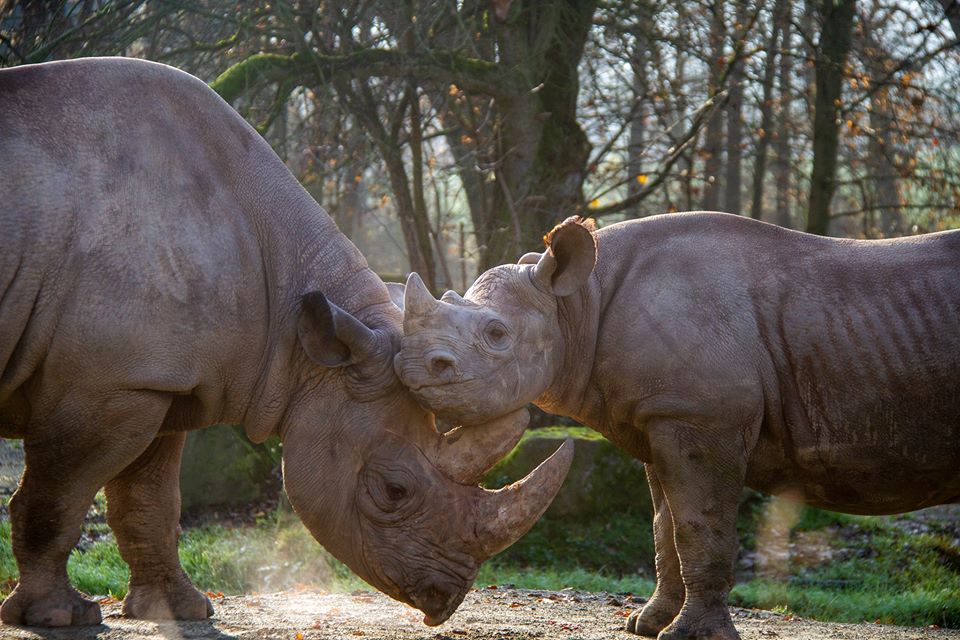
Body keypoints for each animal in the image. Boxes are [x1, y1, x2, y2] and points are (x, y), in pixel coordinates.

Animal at [0, 60, 568, 632]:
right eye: (394, 491)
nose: (446, 598)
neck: (296, 335)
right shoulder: (103, 384)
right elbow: (57, 497)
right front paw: (58, 616)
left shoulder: (153, 379)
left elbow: (149, 502)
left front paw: (179, 609)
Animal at [396, 214, 960, 640]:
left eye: (496, 334)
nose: (413, 367)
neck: (579, 305)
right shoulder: (661, 417)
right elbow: (665, 527)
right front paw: (645, 624)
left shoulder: (700, 415)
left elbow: (698, 525)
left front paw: (692, 635)